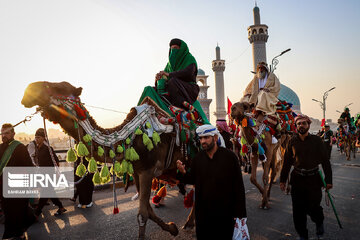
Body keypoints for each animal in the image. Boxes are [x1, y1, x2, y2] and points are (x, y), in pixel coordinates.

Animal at [21, 81, 194, 239]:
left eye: (58, 87)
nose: (29, 90)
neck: (130, 137)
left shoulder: (147, 170)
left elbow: (142, 214)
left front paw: (170, 228)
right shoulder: (138, 172)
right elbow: (148, 210)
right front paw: (172, 228)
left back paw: (189, 222)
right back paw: (187, 224)